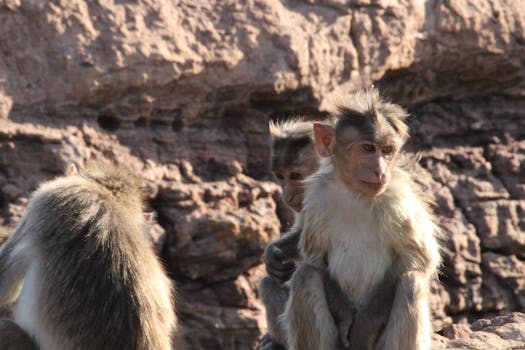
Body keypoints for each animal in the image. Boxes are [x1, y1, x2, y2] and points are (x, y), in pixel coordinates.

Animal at [280, 88, 440, 350]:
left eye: (387, 150)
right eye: (367, 148)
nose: (379, 171)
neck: (354, 194)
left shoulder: (399, 201)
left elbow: (416, 260)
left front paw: (364, 328)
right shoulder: (316, 199)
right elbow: (315, 261)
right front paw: (346, 318)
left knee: (411, 283)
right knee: (305, 277)